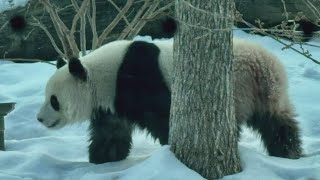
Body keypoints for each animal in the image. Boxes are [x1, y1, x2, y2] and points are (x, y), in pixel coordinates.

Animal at [36, 20, 302, 165]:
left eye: (54, 100)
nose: (39, 119)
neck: (103, 74)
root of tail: (265, 66)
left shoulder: (140, 80)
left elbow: (162, 118)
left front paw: (171, 149)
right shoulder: (111, 101)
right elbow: (111, 132)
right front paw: (103, 159)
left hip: (241, 89)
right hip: (268, 94)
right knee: (278, 124)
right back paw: (288, 152)